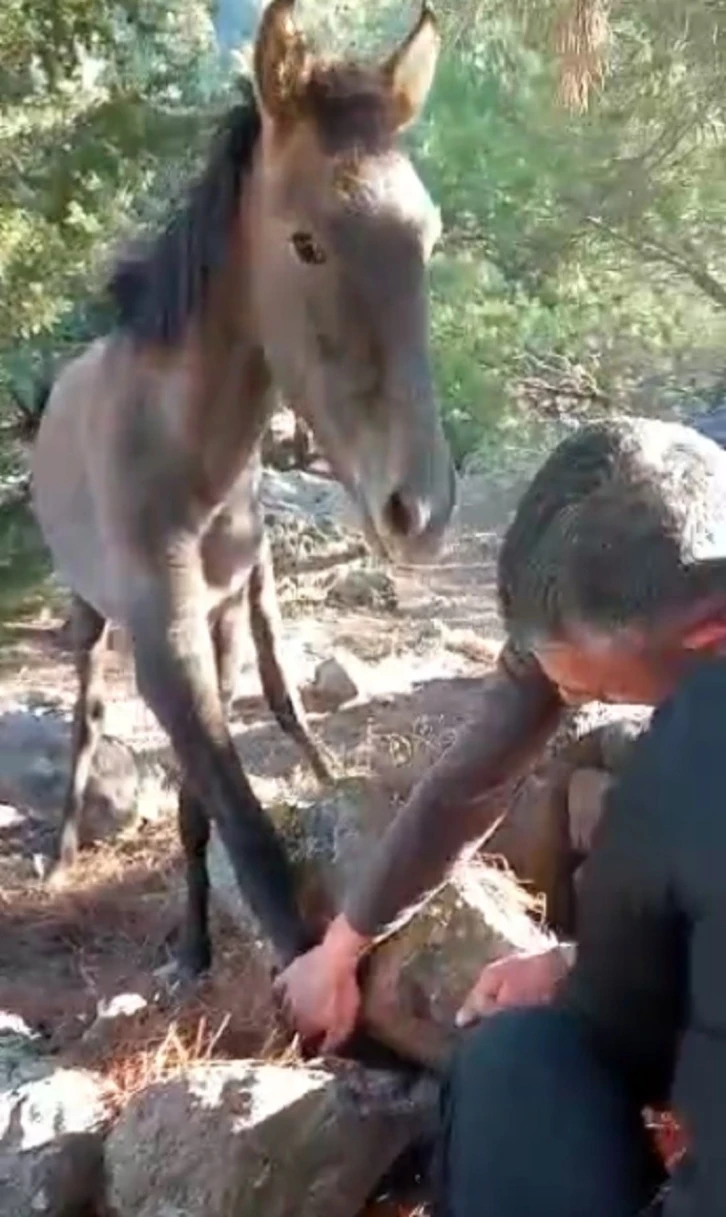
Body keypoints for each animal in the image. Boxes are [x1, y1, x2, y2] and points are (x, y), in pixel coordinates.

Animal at [34, 0, 454, 973]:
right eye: (306, 242)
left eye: (428, 235)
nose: (419, 509)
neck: (185, 457)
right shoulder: (165, 638)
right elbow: (253, 840)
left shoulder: (222, 619)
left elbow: (202, 809)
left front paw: (194, 943)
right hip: (88, 612)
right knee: (86, 713)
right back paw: (66, 846)